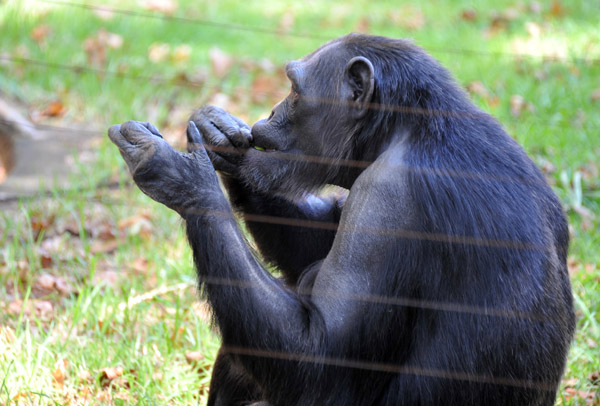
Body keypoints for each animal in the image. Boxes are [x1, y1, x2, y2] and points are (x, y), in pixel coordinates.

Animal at [109, 33, 576, 404]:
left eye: (295, 89)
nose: (272, 111)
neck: (403, 129)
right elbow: (315, 241)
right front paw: (221, 136)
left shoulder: (384, 201)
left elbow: (321, 357)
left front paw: (184, 177)